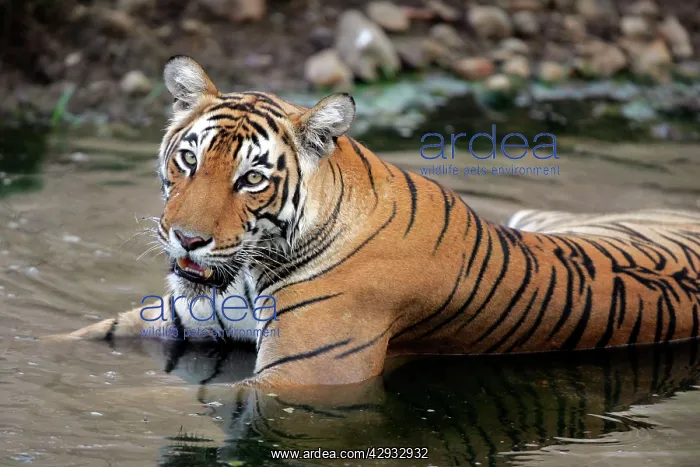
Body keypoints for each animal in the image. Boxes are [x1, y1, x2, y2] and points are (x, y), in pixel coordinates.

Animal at [59, 55, 700, 388]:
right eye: (189, 159)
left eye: (252, 179)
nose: (186, 239)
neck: (250, 270)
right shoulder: (179, 318)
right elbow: (66, 340)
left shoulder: (298, 376)